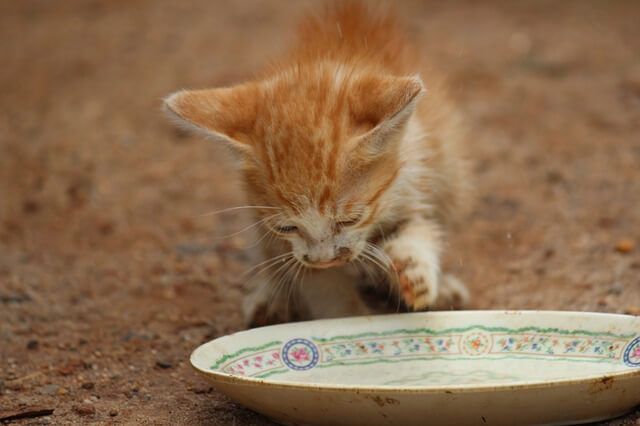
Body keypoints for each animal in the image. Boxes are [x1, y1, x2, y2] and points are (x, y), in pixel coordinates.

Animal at [165, 3, 470, 326]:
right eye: (286, 227)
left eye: (349, 220)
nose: (326, 259)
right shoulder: (283, 240)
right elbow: (322, 287)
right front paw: (350, 322)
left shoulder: (414, 174)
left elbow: (420, 230)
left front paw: (413, 271)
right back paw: (270, 299)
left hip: (450, 169)